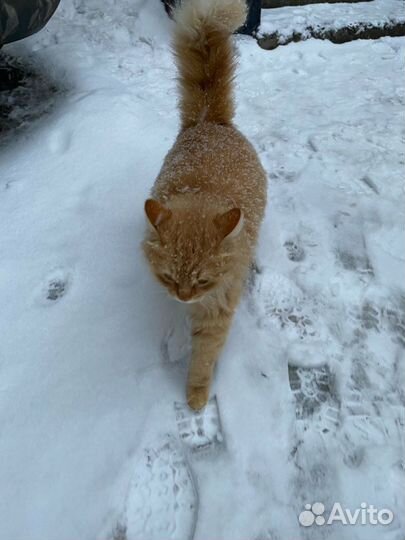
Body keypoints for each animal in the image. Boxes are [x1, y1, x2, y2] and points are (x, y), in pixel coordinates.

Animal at [144, 0, 266, 410]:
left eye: (201, 281)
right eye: (169, 278)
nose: (181, 298)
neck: (201, 191)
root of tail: (209, 122)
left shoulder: (218, 309)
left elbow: (204, 357)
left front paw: (196, 394)